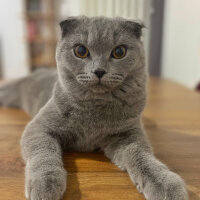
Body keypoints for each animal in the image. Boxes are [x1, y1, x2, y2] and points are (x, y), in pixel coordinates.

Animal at [0, 16, 188, 200]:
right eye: (80, 50)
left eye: (119, 52)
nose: (99, 71)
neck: (95, 108)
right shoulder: (38, 128)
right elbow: (43, 152)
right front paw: (45, 185)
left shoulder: (128, 133)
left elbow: (141, 155)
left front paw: (165, 185)